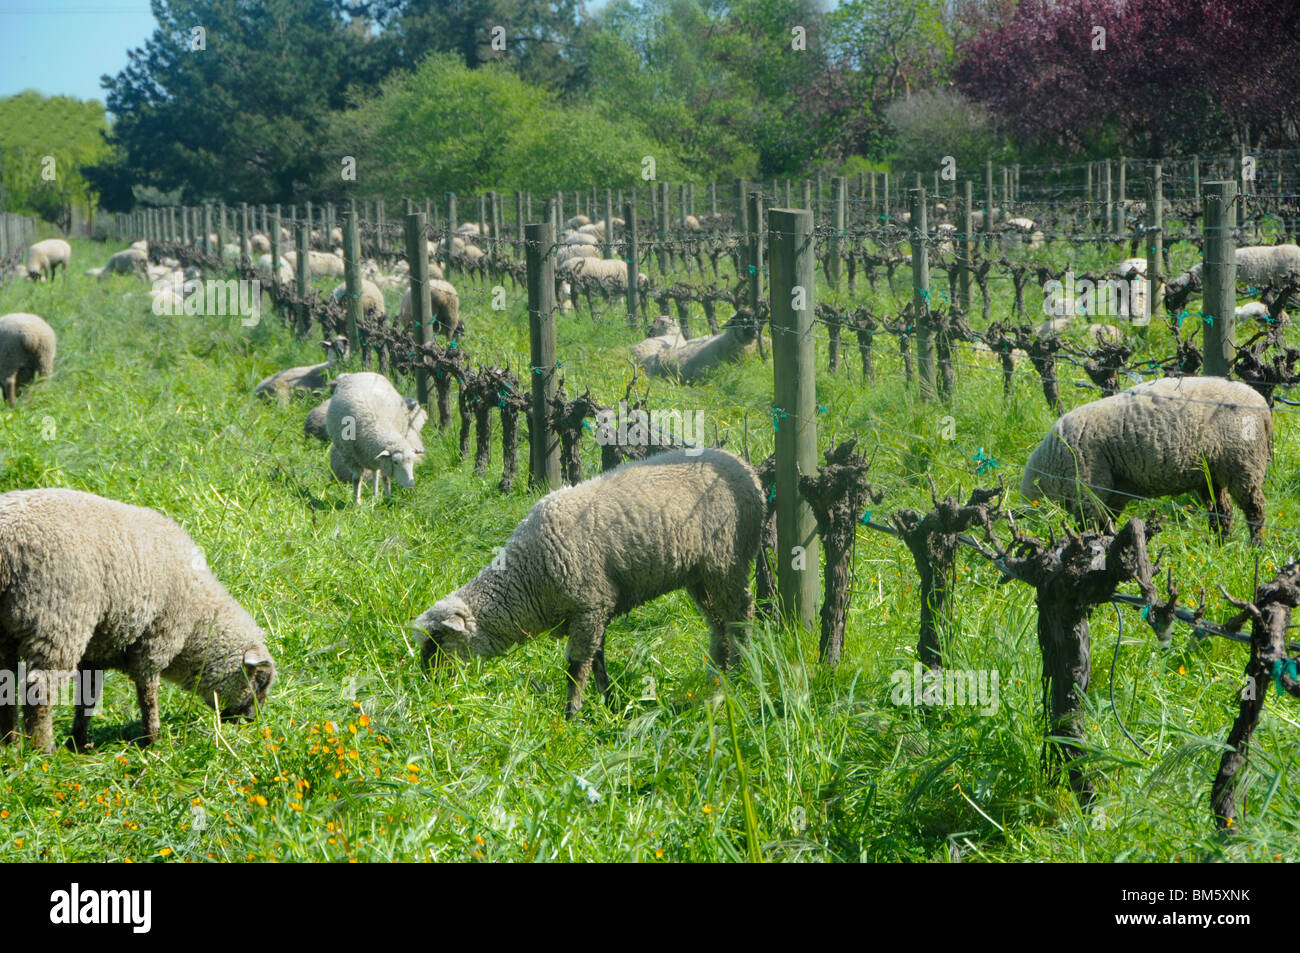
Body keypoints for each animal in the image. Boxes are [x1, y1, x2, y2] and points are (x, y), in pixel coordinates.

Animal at [0, 491, 274, 748]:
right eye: (260, 681)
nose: (251, 721)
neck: (197, 624)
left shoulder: (97, 652)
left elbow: (88, 697)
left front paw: (80, 742)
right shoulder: (158, 640)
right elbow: (148, 693)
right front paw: (152, 739)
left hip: (8, 632)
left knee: (6, 684)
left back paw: (10, 742)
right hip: (56, 622)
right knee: (39, 691)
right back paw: (43, 748)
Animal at [325, 371, 421, 504]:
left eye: (412, 461)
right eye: (395, 462)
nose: (410, 485)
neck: (376, 424)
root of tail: (362, 372)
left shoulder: (384, 459)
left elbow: (386, 478)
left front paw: (388, 498)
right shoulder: (351, 458)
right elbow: (357, 480)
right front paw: (357, 503)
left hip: (375, 456)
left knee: (376, 472)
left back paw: (375, 496)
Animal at [413, 447, 759, 712]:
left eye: (438, 641)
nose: (427, 686)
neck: (527, 577)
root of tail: (743, 466)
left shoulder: (589, 607)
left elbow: (577, 666)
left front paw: (572, 715)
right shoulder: (595, 611)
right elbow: (597, 661)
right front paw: (609, 705)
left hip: (728, 561)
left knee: (740, 614)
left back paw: (741, 672)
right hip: (701, 575)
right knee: (718, 622)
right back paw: (717, 674)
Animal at [1013, 379, 1268, 543]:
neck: (1050, 471)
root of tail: (1263, 405)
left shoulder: (1089, 485)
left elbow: (1090, 525)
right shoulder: (1114, 492)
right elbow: (1106, 523)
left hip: (1243, 464)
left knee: (1254, 509)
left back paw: (1255, 546)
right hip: (1211, 473)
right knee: (1222, 511)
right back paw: (1219, 544)